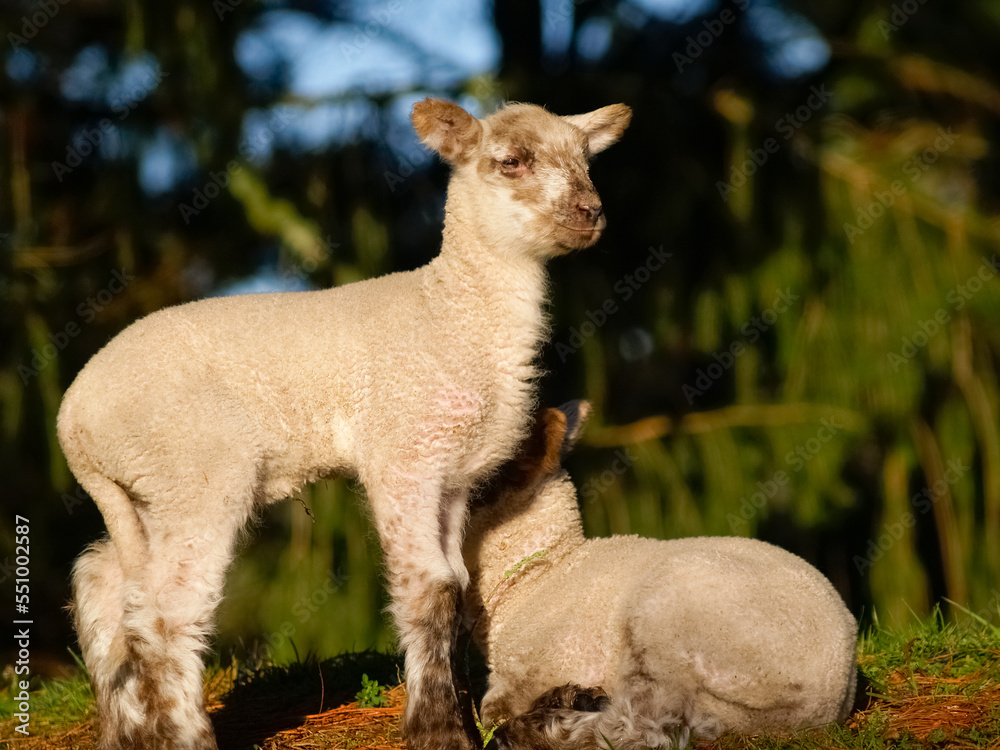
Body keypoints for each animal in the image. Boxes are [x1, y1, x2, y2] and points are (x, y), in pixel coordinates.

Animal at [54, 100, 628, 750]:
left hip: (142, 488)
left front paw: (456, 717)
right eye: (511, 161)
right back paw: (185, 736)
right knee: (166, 610)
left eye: (585, 159)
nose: (591, 212)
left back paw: (126, 729)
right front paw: (437, 731)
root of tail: (74, 420)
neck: (450, 311)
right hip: (195, 466)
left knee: (106, 585)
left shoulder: (454, 475)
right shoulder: (404, 453)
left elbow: (458, 587)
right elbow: (430, 589)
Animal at [464, 406, 856, 750]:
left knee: (645, 724)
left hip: (673, 620)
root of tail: (832, 693)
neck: (541, 575)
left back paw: (545, 727)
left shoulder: (538, 662)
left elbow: (491, 708)